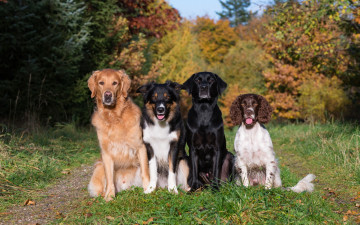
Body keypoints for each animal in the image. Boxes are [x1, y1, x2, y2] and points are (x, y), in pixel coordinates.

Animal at [87, 68, 150, 200]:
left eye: (115, 83)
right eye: (101, 83)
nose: (107, 95)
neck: (114, 116)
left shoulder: (140, 147)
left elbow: (145, 172)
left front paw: (149, 189)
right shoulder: (106, 153)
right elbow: (109, 178)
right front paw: (109, 197)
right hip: (99, 167)